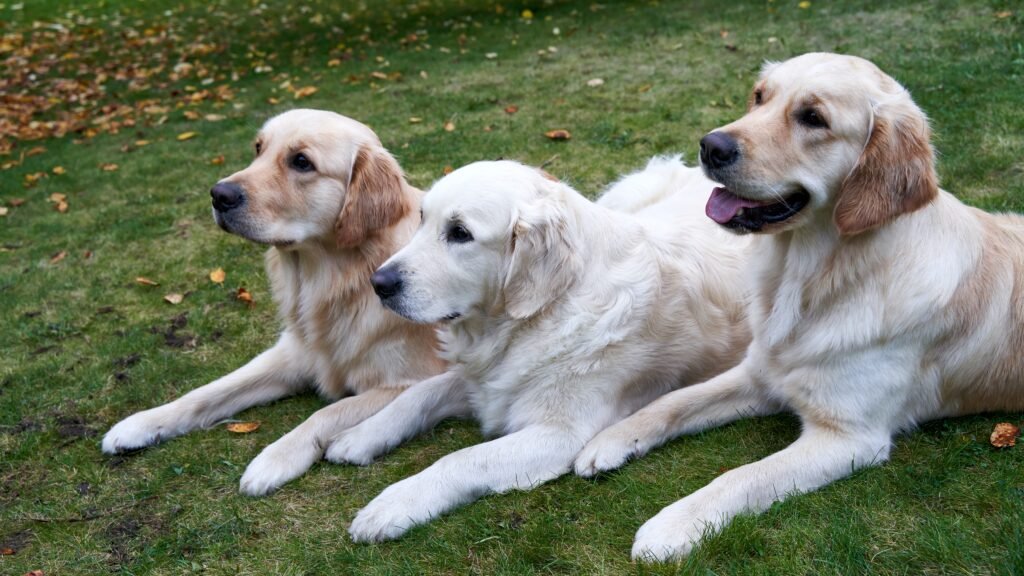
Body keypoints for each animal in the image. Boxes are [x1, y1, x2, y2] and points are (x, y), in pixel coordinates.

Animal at [100, 108, 448, 494]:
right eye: (258, 148)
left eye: (302, 162)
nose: (218, 194)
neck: (338, 281)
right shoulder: (293, 354)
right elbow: (210, 390)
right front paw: (143, 422)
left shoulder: (408, 380)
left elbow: (328, 411)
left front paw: (275, 458)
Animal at [325, 155, 753, 537]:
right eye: (421, 219)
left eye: (460, 233)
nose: (379, 283)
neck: (543, 311)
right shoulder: (488, 381)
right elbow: (417, 395)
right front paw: (359, 436)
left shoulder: (560, 433)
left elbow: (462, 459)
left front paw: (393, 504)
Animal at [573, 52, 1024, 557]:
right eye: (759, 96)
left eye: (813, 118)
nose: (710, 146)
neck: (809, 278)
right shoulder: (761, 374)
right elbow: (672, 401)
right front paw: (611, 440)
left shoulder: (848, 437)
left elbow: (744, 476)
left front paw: (672, 525)